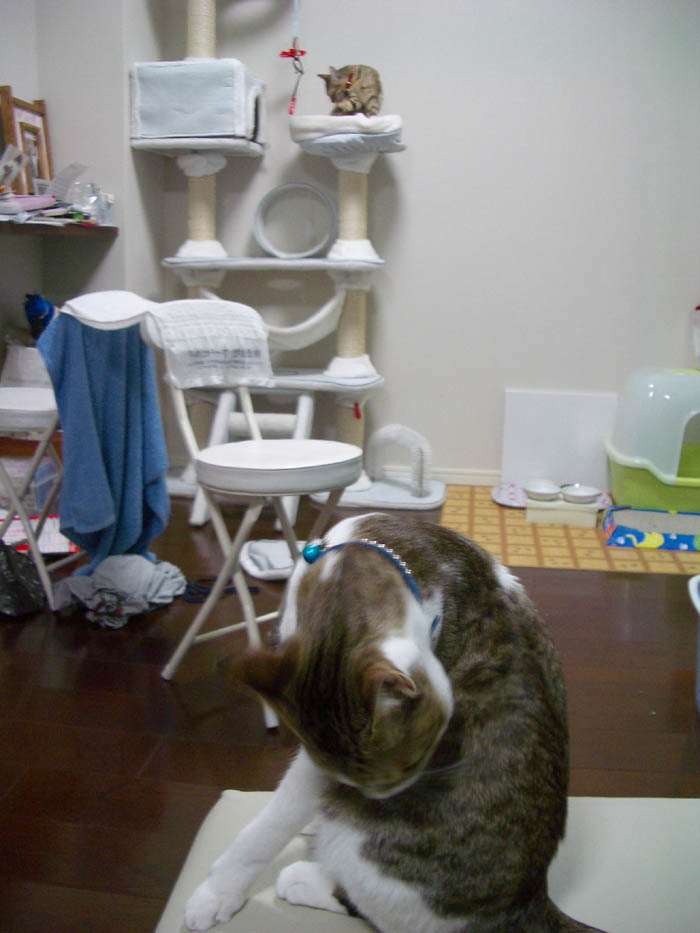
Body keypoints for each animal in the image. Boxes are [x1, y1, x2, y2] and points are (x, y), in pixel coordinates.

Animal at [184, 512, 606, 933]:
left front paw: (217, 892)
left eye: (414, 764)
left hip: (365, 852)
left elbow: (269, 823)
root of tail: (529, 899)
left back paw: (305, 877)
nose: (370, 799)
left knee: (371, 907)